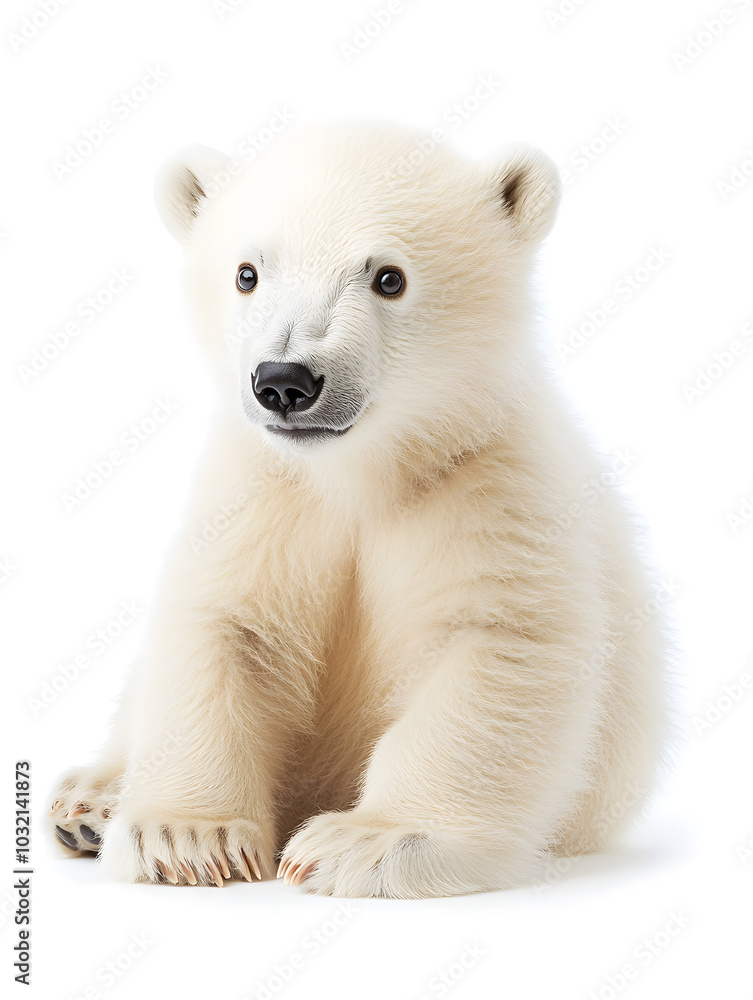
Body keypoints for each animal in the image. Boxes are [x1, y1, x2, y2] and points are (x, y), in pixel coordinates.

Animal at [49, 122, 666, 898]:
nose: (285, 380)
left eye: (388, 277)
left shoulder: (489, 484)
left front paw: (365, 843)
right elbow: (223, 627)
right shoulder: (265, 497)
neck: (362, 474)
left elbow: (494, 647)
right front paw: (187, 836)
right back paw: (90, 801)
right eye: (248, 272)